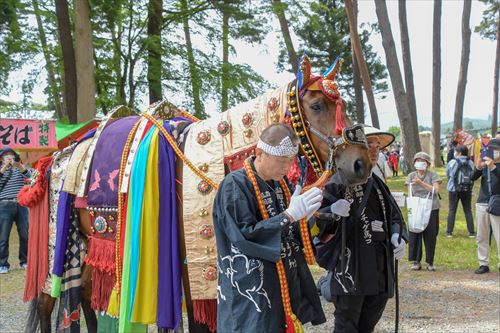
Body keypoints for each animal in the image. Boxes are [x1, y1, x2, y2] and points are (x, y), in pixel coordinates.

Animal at [27, 55, 372, 332]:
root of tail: (57, 157)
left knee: (84, 296)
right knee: (47, 303)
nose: (361, 163)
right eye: (316, 106)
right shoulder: (191, 268)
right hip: (59, 246)